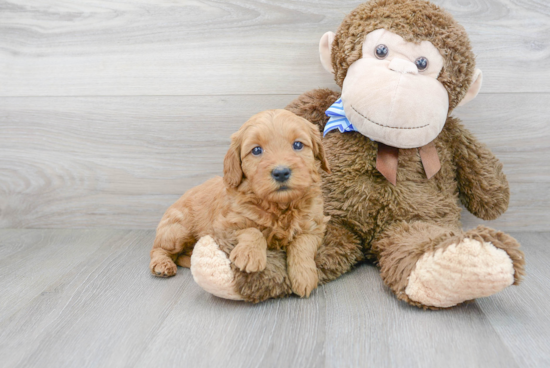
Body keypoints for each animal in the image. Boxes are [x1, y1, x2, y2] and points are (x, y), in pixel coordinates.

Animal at [151, 108, 330, 296]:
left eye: (298, 145)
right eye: (257, 150)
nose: (281, 172)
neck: (279, 205)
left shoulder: (314, 226)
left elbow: (303, 245)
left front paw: (304, 276)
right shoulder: (224, 226)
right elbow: (252, 230)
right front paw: (250, 255)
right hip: (177, 230)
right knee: (159, 249)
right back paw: (162, 265)